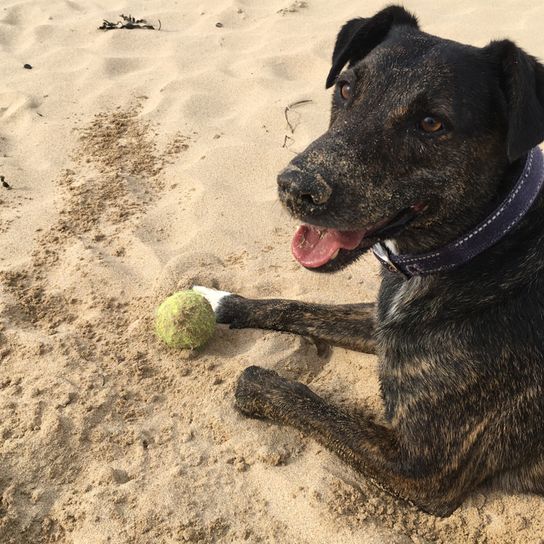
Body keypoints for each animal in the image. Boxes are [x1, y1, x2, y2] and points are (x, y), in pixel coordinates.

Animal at [196, 3, 544, 516]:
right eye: (345, 88)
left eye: (431, 124)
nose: (295, 188)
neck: (485, 245)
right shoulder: (382, 323)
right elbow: (297, 307)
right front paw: (221, 301)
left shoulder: (423, 469)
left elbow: (292, 395)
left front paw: (258, 378)